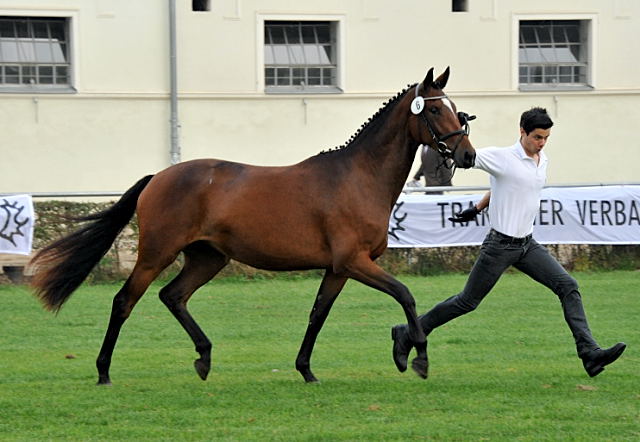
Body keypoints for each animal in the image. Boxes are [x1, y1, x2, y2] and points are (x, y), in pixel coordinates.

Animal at [32, 67, 478, 386]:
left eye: (457, 108)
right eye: (434, 109)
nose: (468, 155)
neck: (358, 177)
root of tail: (158, 176)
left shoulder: (338, 269)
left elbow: (318, 313)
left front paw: (306, 369)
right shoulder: (354, 261)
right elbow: (405, 294)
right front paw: (415, 357)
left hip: (207, 258)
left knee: (173, 296)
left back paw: (204, 357)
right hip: (156, 253)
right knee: (125, 301)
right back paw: (104, 371)